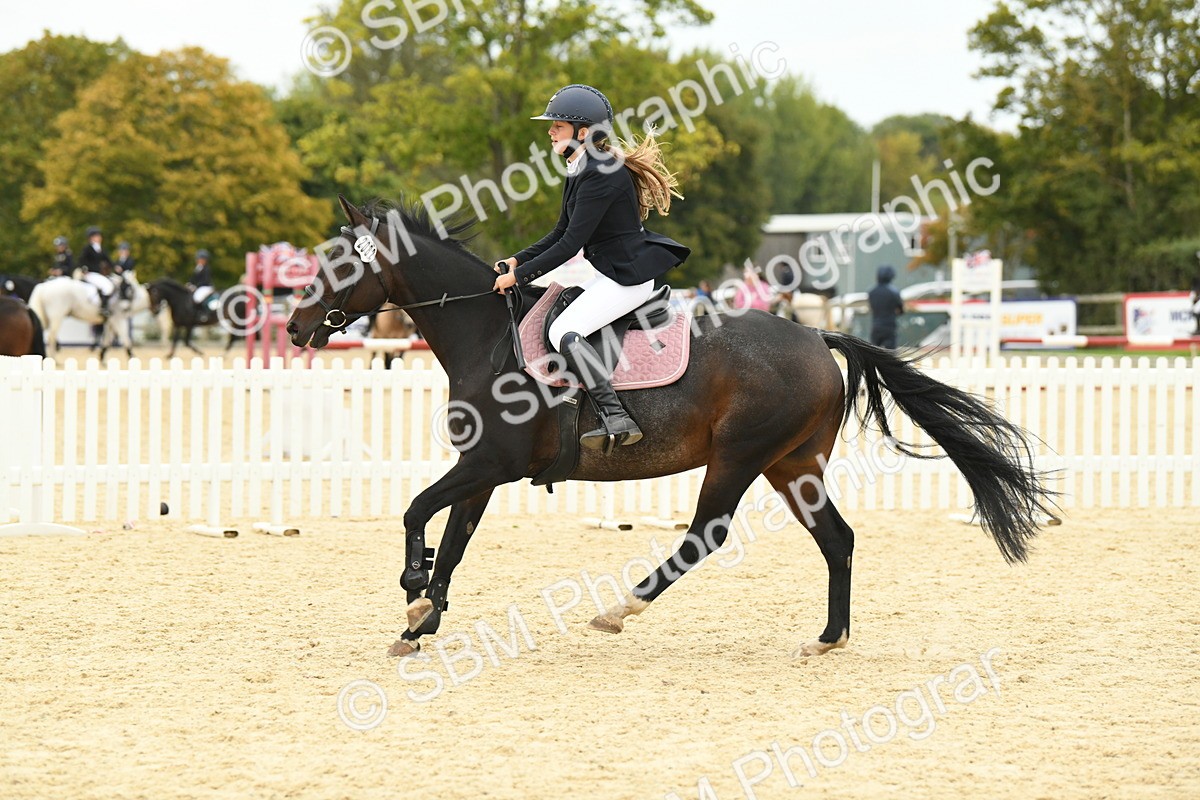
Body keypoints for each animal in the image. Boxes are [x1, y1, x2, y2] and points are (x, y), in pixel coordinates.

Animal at [287, 196, 1054, 659]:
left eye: (340, 263)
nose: (294, 327)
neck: (485, 333)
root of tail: (817, 337)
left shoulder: (488, 467)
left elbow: (416, 514)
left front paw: (413, 590)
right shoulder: (480, 475)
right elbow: (452, 543)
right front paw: (420, 622)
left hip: (739, 458)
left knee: (704, 535)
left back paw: (620, 609)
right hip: (792, 465)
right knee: (837, 539)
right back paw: (829, 637)